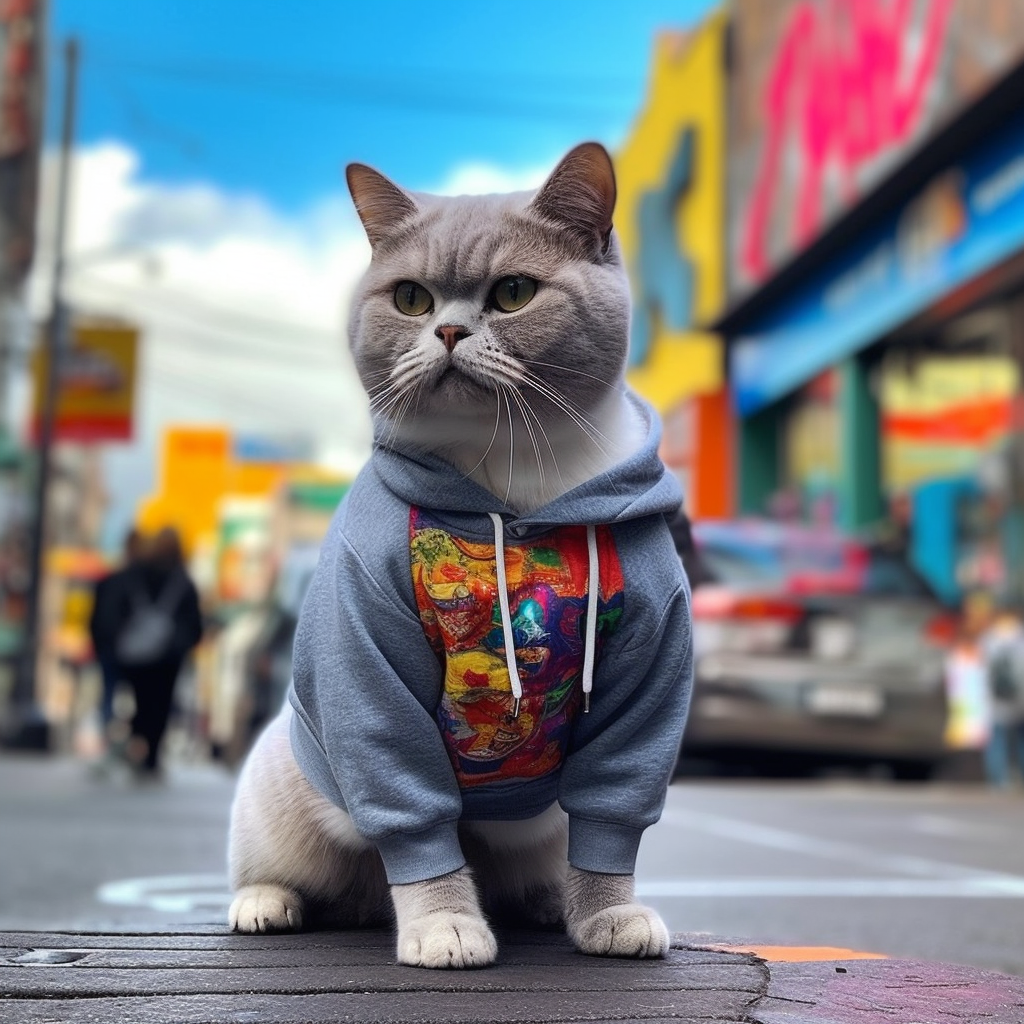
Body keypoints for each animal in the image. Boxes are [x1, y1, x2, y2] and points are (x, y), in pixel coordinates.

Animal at [228, 142, 692, 966]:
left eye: (513, 293)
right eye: (411, 299)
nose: (447, 332)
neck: (514, 487)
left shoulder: (652, 671)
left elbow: (612, 822)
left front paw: (608, 913)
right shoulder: (368, 663)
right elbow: (417, 823)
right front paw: (444, 925)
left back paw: (549, 903)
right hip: (281, 788)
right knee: (281, 868)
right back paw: (267, 903)